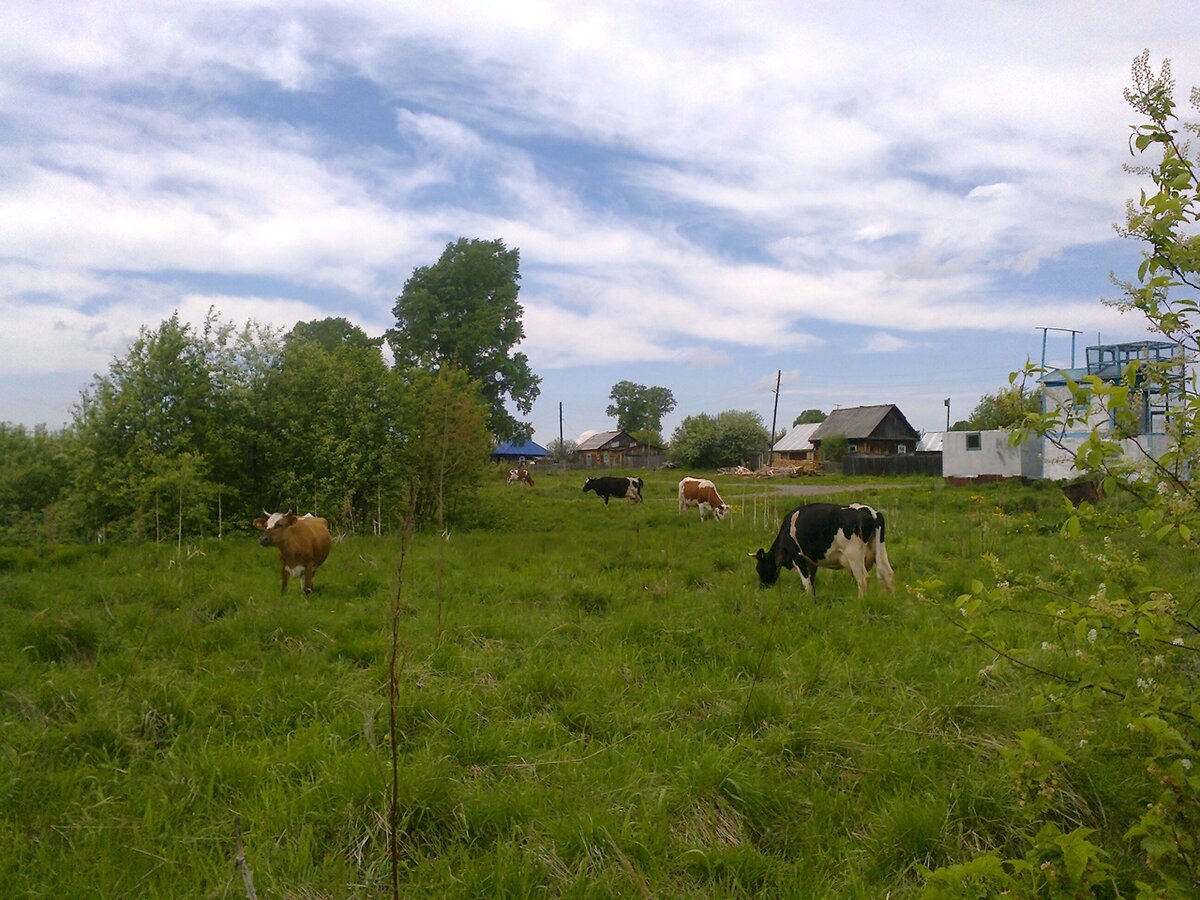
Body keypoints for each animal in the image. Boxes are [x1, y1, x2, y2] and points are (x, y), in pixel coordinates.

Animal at [748, 501, 892, 600]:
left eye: (758, 568)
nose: (762, 587)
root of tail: (869, 512)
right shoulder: (812, 562)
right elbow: (812, 579)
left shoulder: (797, 556)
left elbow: (806, 581)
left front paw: (808, 599)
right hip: (880, 548)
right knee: (887, 572)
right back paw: (890, 598)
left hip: (854, 555)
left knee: (862, 578)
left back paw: (861, 601)